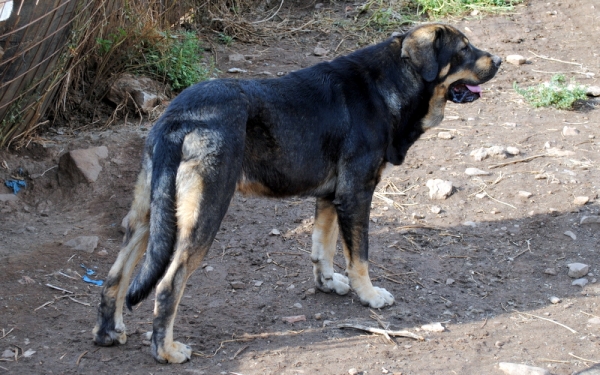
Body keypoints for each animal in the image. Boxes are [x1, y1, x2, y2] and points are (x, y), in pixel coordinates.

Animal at [91, 23, 500, 364]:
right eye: (464, 49)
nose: (498, 60)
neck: (392, 82)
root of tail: (182, 117)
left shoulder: (330, 197)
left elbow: (324, 248)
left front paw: (328, 284)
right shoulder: (357, 194)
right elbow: (360, 257)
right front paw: (368, 295)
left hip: (150, 217)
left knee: (115, 276)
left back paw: (109, 333)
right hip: (204, 216)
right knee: (166, 286)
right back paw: (167, 351)